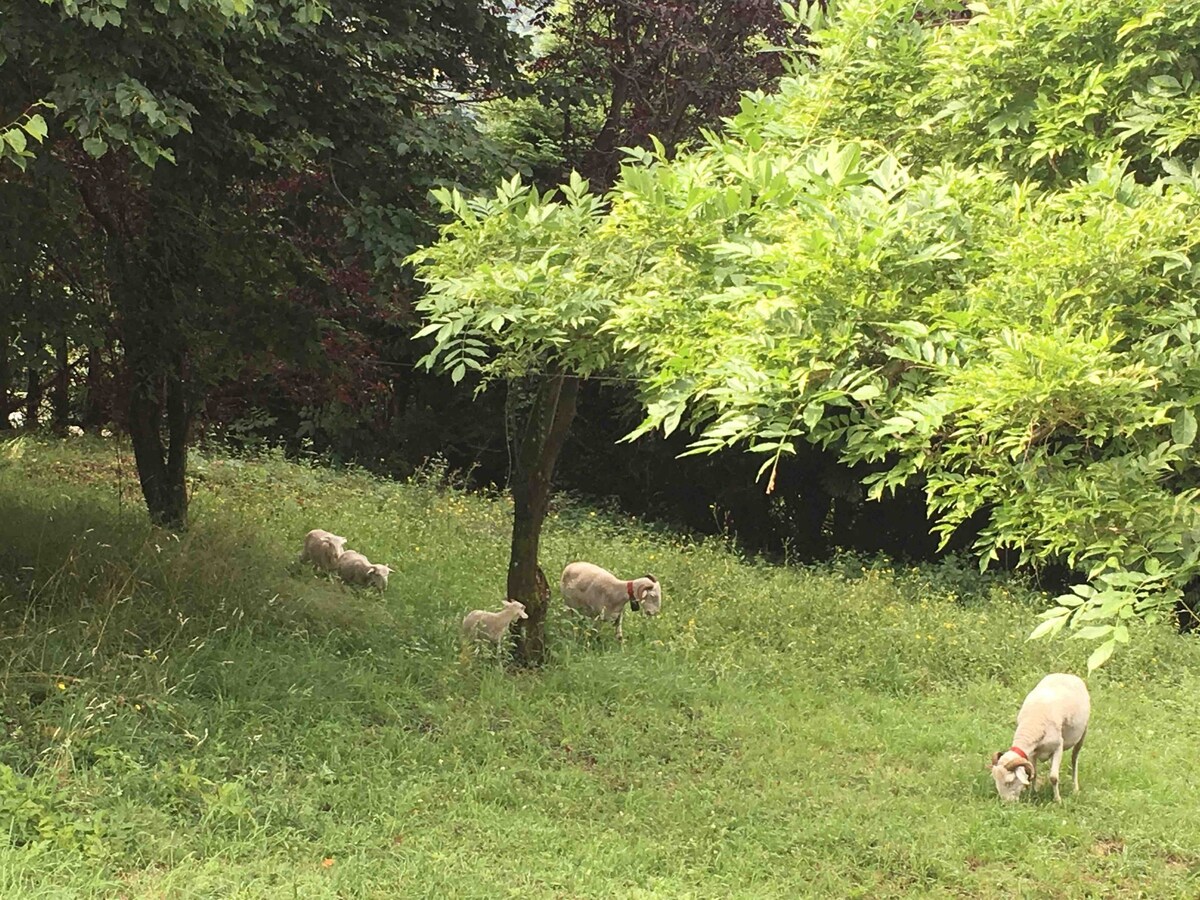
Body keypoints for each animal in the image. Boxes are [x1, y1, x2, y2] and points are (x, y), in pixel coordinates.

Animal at [988, 672, 1094, 806]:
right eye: (995, 779)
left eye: (1010, 781)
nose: (1006, 804)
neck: (1032, 723)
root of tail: (1066, 674)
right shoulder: (1032, 753)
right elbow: (1034, 773)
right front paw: (1033, 793)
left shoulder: (1058, 747)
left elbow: (1053, 777)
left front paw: (1058, 800)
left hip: (1083, 732)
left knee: (1074, 759)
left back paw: (1075, 788)